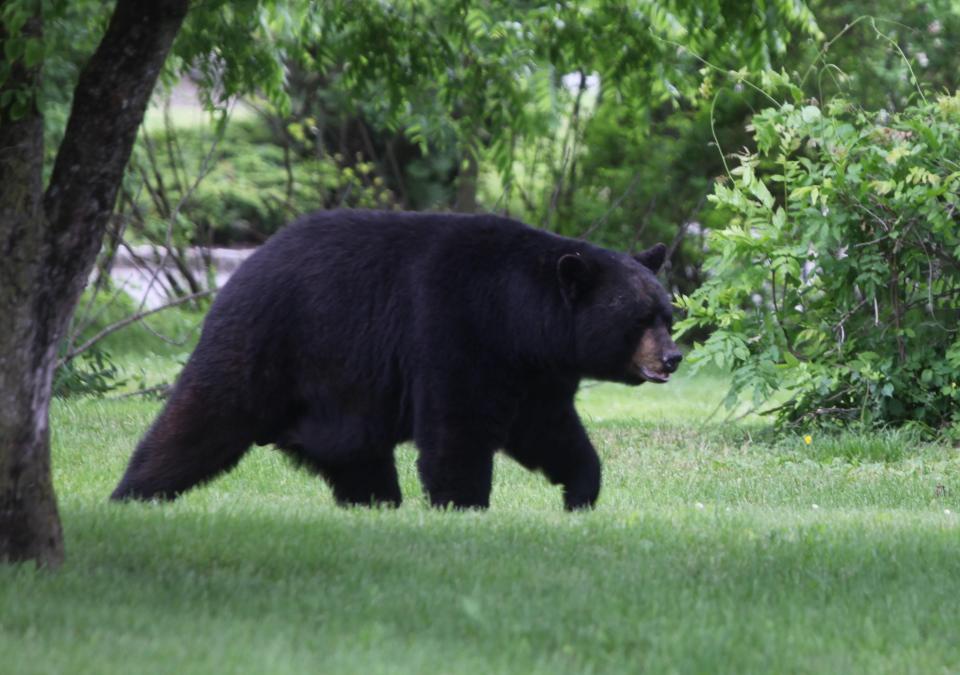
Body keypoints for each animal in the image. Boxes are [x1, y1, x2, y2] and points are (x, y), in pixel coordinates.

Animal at [110, 209, 684, 510]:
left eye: (667, 314)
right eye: (639, 319)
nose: (672, 357)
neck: (520, 317)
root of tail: (241, 269)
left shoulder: (534, 374)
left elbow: (551, 432)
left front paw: (581, 491)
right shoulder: (457, 331)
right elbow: (457, 429)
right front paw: (464, 505)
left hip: (340, 404)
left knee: (358, 459)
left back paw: (377, 504)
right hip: (268, 346)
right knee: (201, 419)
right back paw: (134, 493)